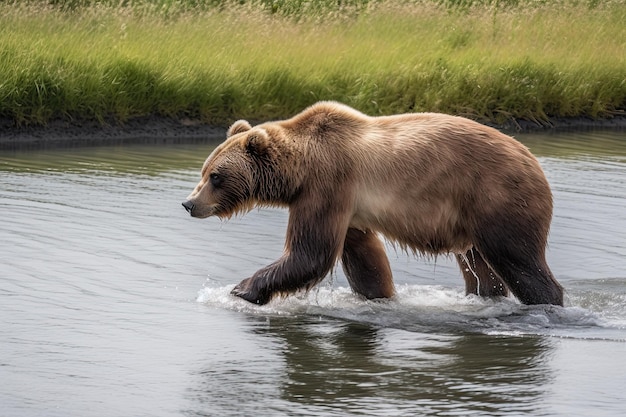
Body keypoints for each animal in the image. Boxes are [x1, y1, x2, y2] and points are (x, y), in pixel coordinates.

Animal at [180, 101, 560, 306]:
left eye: (216, 176)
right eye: (204, 170)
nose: (189, 203)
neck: (299, 171)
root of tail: (535, 161)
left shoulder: (328, 184)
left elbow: (310, 253)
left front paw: (242, 288)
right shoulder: (350, 209)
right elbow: (364, 258)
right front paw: (378, 294)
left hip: (497, 197)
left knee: (520, 260)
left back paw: (548, 300)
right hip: (470, 221)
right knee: (482, 269)